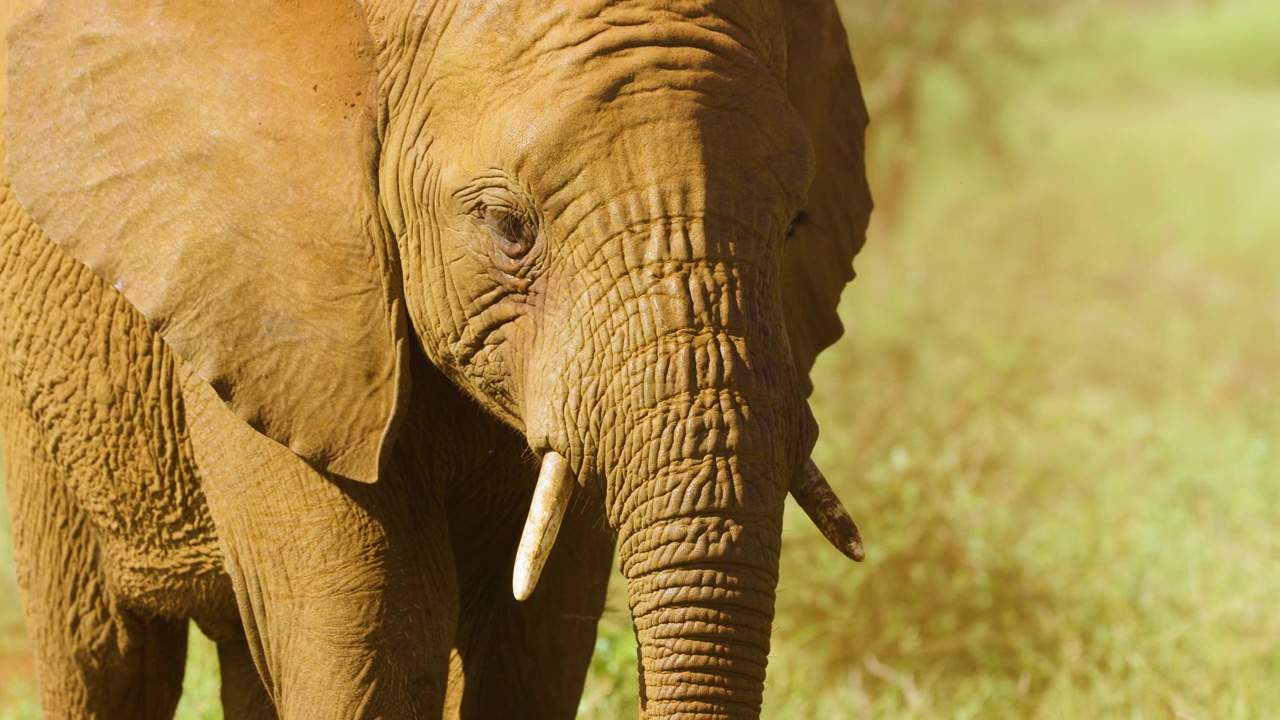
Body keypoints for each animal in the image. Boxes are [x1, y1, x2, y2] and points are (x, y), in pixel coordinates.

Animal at [0, 0, 870, 712]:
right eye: (508, 226)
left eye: (795, 223)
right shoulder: (280, 307)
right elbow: (376, 638)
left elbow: (531, 646)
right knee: (105, 655)